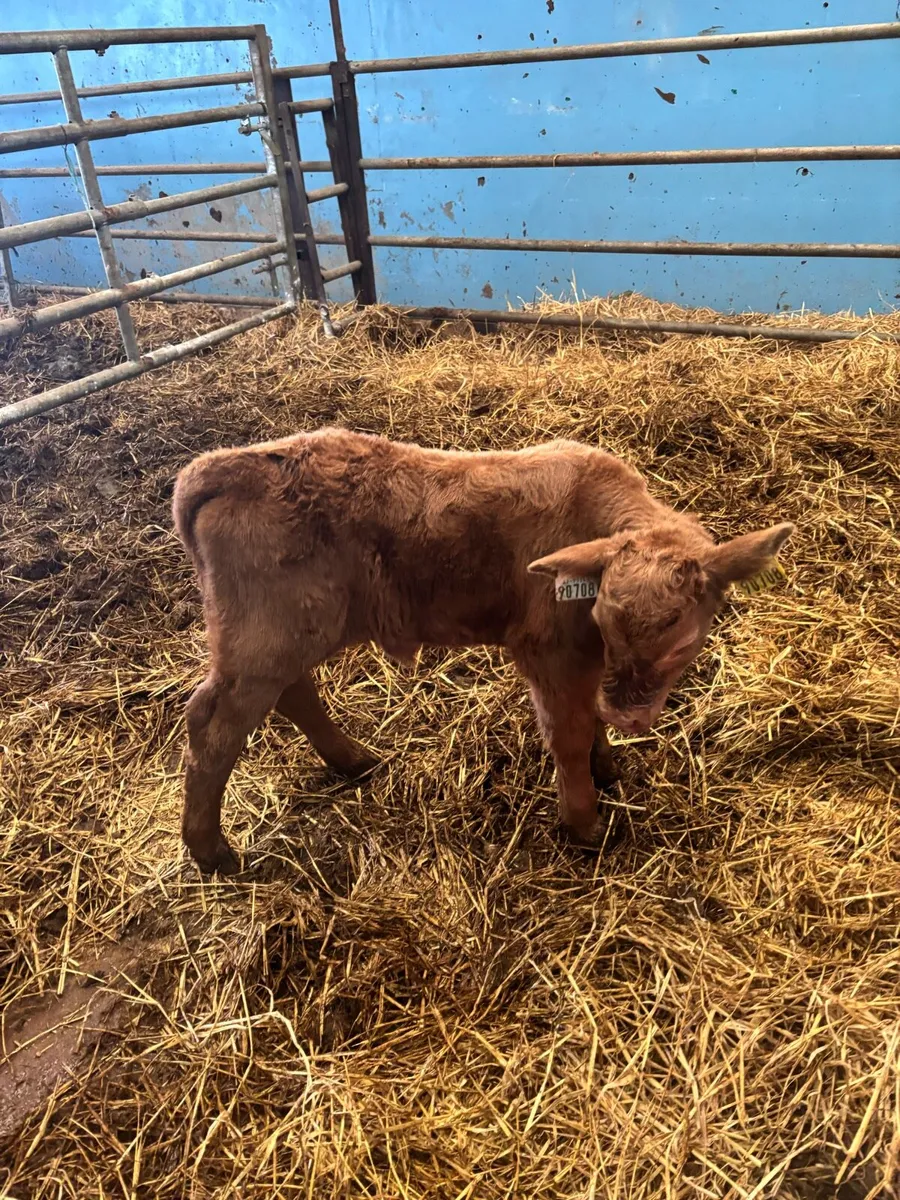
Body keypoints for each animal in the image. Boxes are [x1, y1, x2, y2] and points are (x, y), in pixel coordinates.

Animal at [173, 427, 792, 874]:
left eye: (683, 638)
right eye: (603, 619)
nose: (630, 716)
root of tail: (231, 462)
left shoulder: (584, 661)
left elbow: (587, 717)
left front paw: (608, 766)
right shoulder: (548, 650)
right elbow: (567, 734)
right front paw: (585, 823)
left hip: (285, 636)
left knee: (291, 694)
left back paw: (354, 761)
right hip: (264, 638)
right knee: (212, 723)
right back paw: (212, 852)